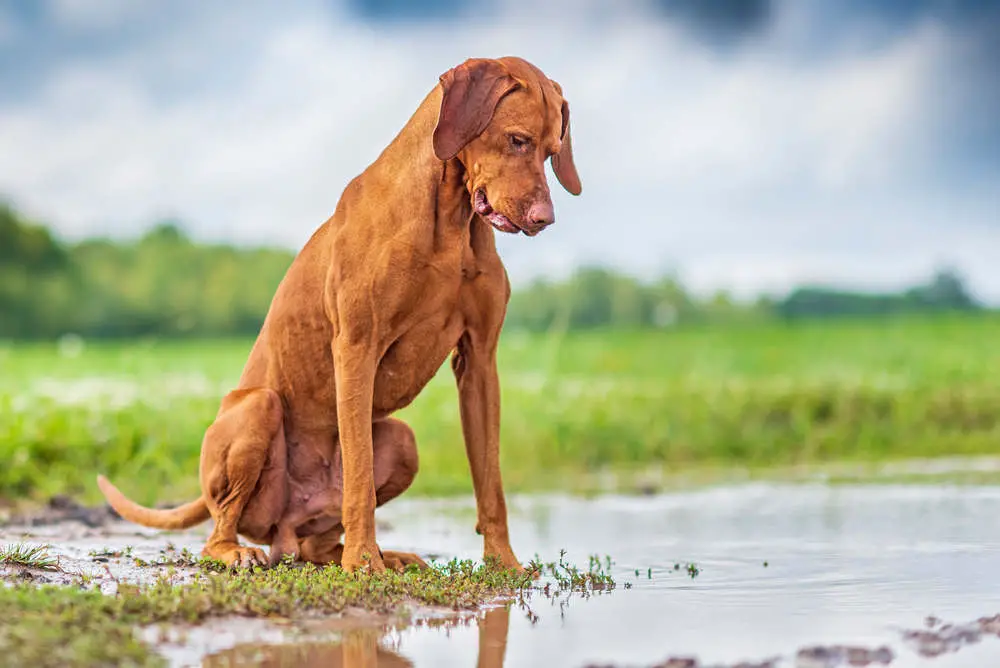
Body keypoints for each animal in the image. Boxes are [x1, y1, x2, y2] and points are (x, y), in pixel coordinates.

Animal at [97, 54, 584, 572]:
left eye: (552, 152)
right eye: (517, 140)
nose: (544, 219)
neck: (449, 220)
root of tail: (283, 530)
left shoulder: (479, 363)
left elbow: (490, 479)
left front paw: (503, 563)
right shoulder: (356, 348)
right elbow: (359, 476)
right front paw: (363, 563)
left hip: (402, 443)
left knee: (316, 543)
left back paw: (384, 555)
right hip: (257, 409)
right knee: (219, 530)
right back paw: (246, 551)